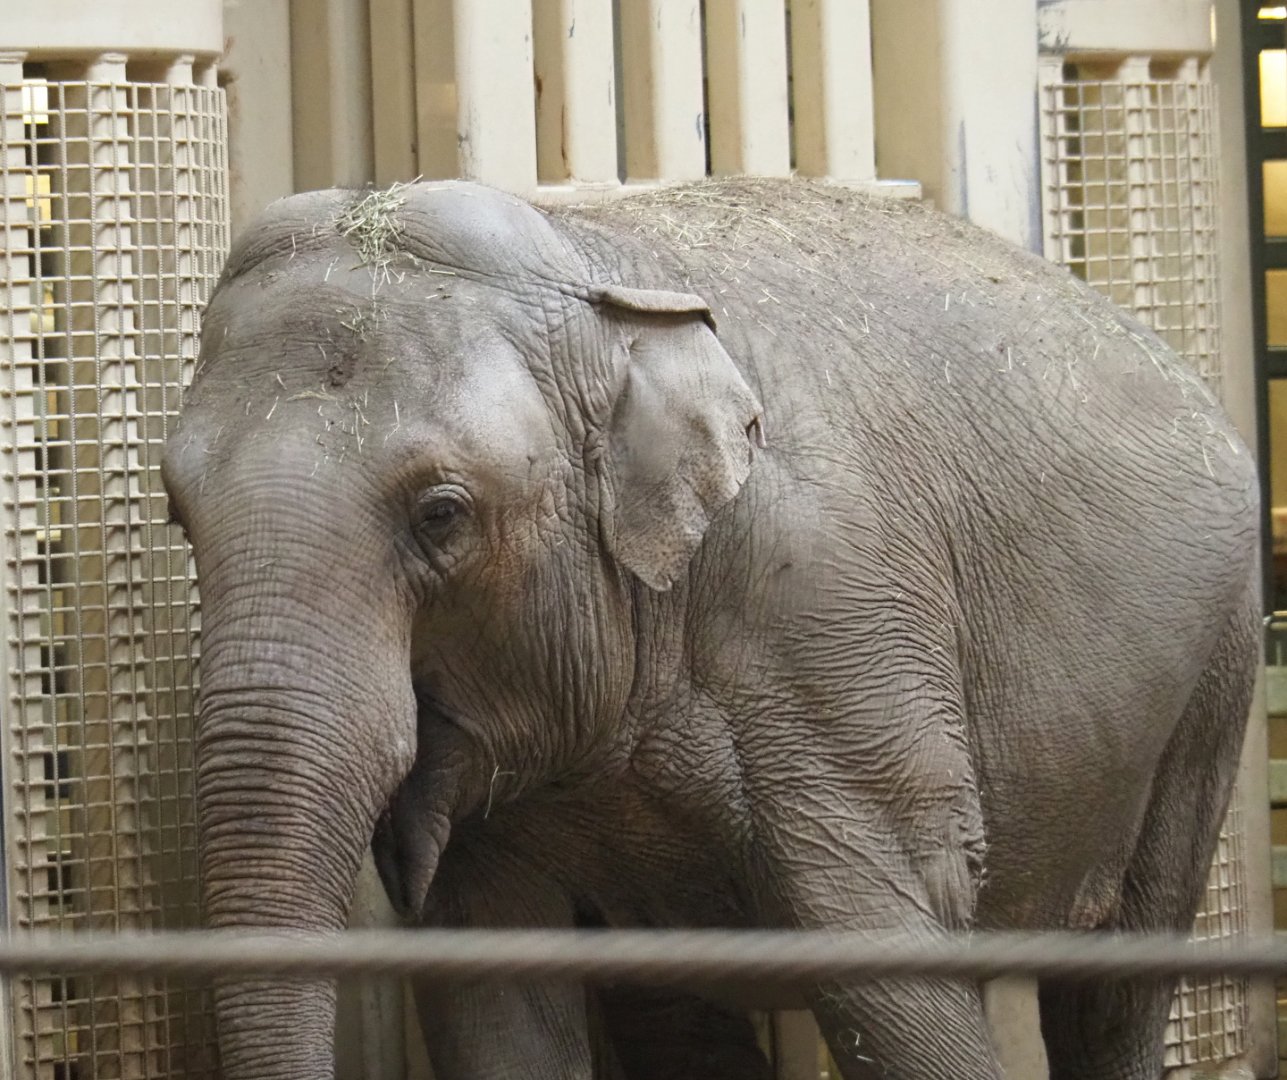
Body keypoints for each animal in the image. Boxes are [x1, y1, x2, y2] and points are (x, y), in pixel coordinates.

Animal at [162, 177, 1260, 1080]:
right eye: (176, 511)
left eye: (441, 515)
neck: (594, 272)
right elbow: (493, 992)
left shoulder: (835, 624)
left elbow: (891, 952)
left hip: (1214, 674)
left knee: (1117, 984)